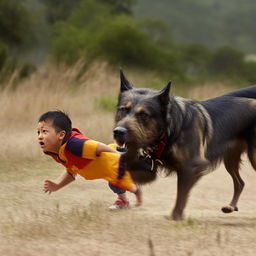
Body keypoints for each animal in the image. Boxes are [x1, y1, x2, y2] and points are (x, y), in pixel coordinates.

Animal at [114, 70, 256, 220]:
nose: (118, 132)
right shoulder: (148, 170)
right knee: (240, 182)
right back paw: (231, 206)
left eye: (143, 114)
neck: (169, 131)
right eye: (124, 109)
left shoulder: (192, 166)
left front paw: (176, 216)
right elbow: (124, 167)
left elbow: (181, 195)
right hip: (230, 159)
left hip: (253, 157)